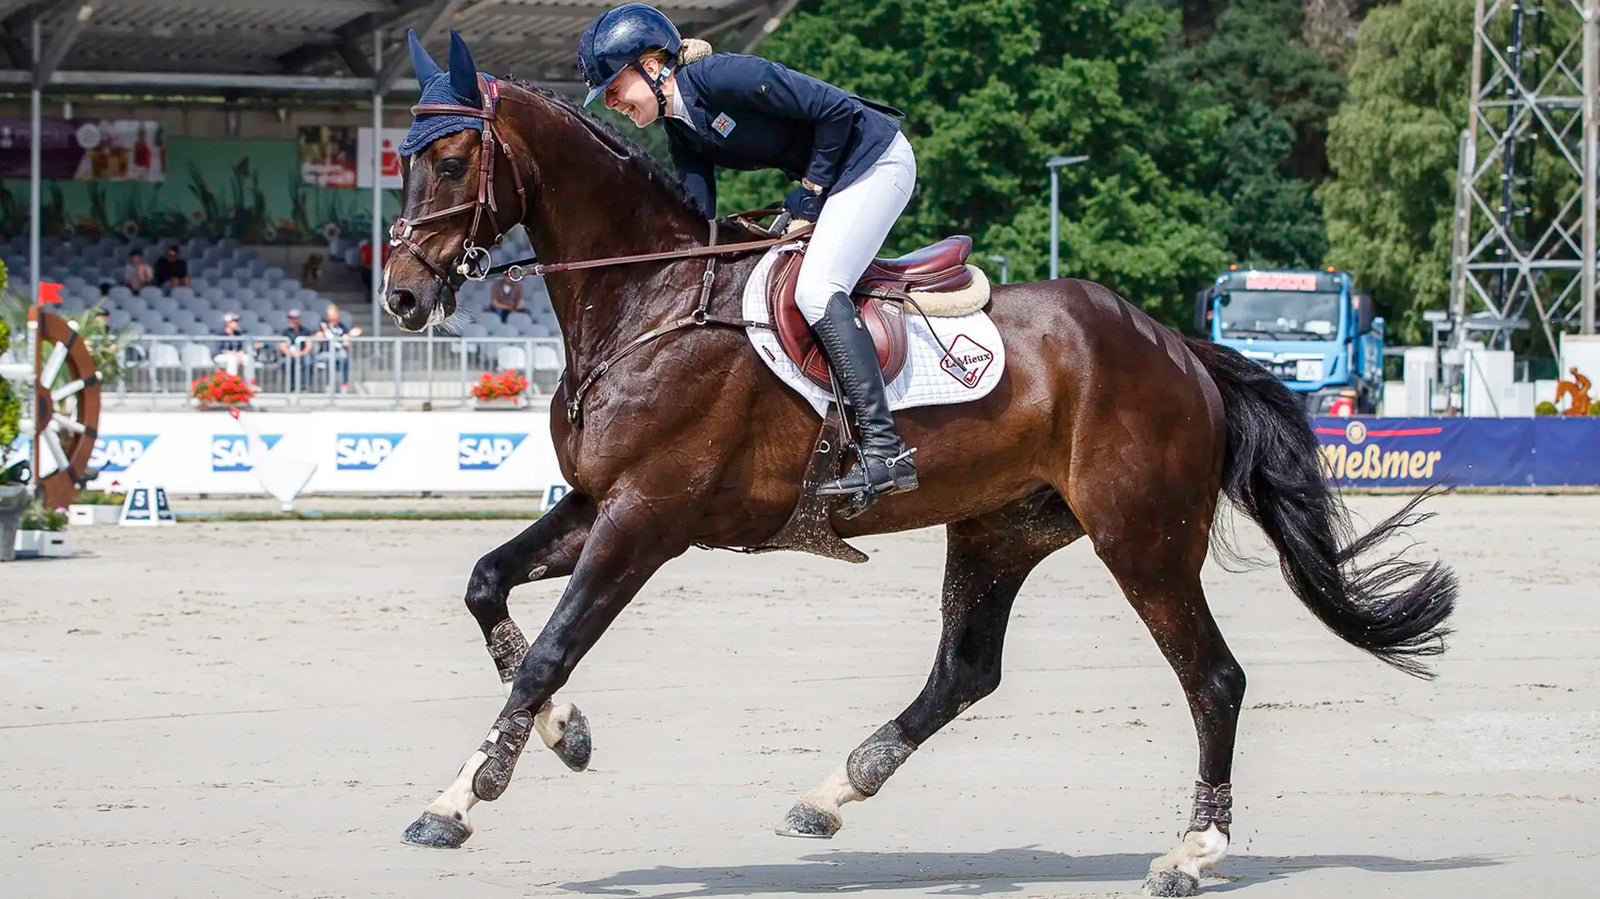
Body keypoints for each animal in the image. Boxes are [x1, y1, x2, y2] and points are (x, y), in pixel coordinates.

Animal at [380, 39, 1456, 898]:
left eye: (450, 158)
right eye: (400, 160)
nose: (398, 296)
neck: (647, 298)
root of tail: (1179, 347)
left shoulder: (645, 517)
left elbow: (554, 648)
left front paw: (462, 797)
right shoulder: (600, 503)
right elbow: (486, 585)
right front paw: (562, 735)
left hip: (1141, 539)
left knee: (1215, 679)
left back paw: (1192, 852)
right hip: (1001, 526)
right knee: (965, 670)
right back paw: (830, 793)